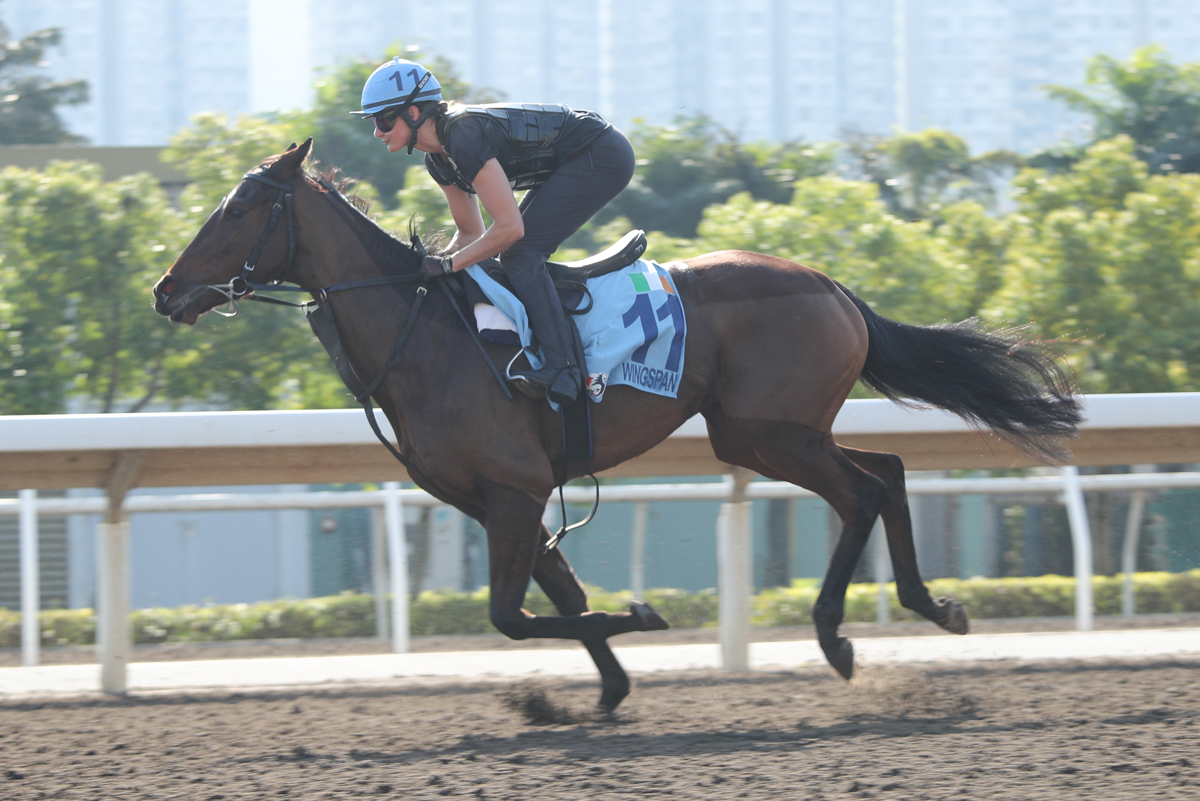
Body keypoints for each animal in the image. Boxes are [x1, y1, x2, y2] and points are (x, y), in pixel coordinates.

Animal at [152, 140, 1089, 709]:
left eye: (238, 209)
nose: (165, 290)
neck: (427, 335)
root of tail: (829, 282)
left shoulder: (515, 491)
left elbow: (513, 614)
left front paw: (635, 621)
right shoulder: (496, 498)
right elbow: (558, 597)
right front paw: (606, 687)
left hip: (769, 434)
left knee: (860, 493)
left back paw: (838, 636)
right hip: (769, 429)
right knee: (888, 471)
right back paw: (930, 605)